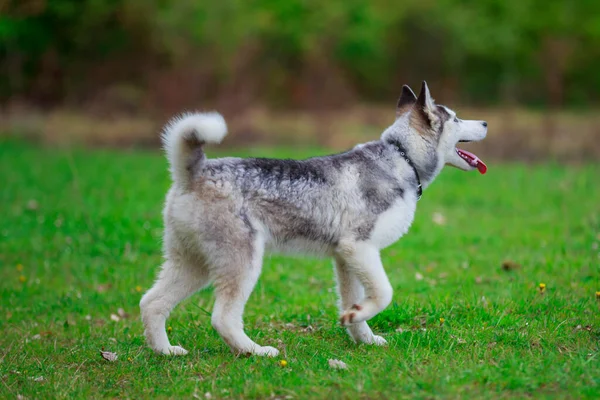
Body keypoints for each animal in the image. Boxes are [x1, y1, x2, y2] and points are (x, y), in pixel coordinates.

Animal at [139, 81, 488, 356]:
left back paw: (165, 351)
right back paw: (254, 351)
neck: (400, 157)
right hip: (241, 262)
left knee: (151, 302)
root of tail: (195, 171)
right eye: (456, 118)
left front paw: (361, 331)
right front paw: (362, 317)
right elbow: (385, 292)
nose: (485, 122)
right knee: (222, 318)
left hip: (194, 264)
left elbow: (354, 301)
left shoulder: (346, 258)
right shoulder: (360, 247)